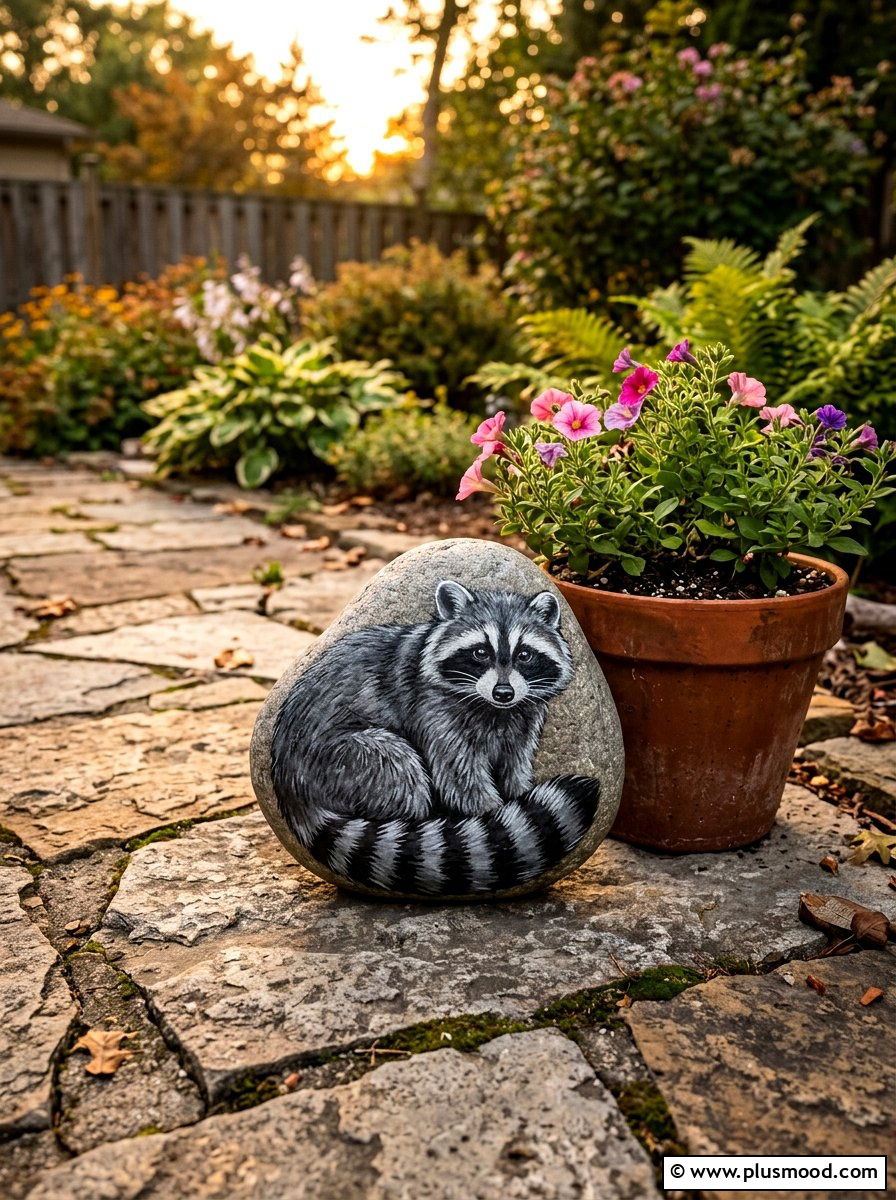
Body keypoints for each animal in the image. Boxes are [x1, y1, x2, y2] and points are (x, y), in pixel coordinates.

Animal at [270, 580, 599, 898]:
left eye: (525, 654)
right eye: (481, 652)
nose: (504, 693)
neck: (494, 709)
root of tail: (287, 781)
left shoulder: (524, 717)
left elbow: (515, 762)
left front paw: (517, 794)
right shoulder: (433, 708)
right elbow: (459, 776)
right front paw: (488, 813)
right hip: (339, 759)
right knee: (398, 766)